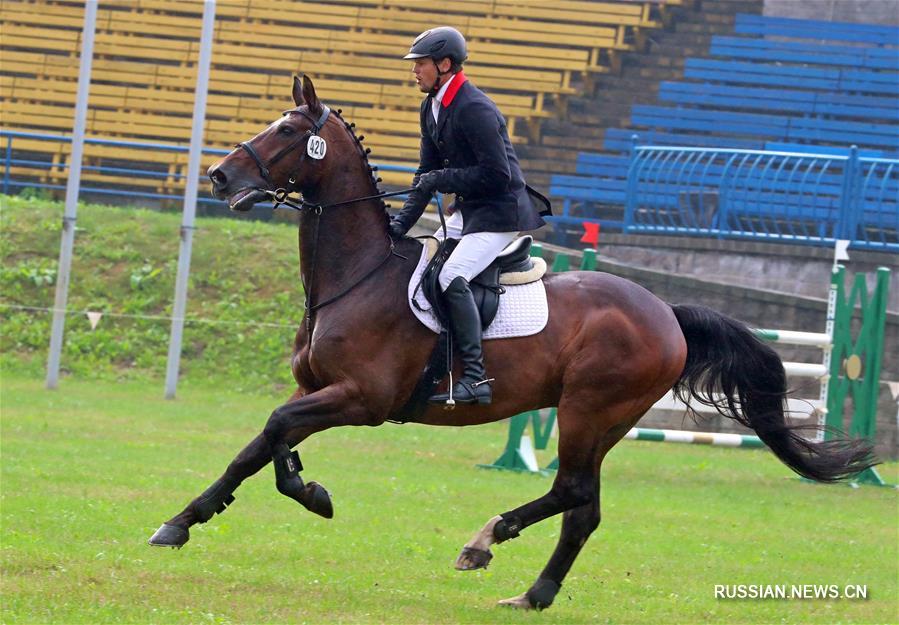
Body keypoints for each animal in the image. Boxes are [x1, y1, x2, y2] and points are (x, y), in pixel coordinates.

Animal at [149, 74, 880, 608]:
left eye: (288, 130)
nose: (218, 177)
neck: (357, 275)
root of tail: (666, 312)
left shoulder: (361, 398)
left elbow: (276, 431)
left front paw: (304, 493)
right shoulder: (318, 388)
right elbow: (259, 445)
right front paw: (190, 518)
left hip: (589, 409)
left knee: (573, 494)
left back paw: (495, 549)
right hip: (601, 418)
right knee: (582, 505)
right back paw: (525, 583)